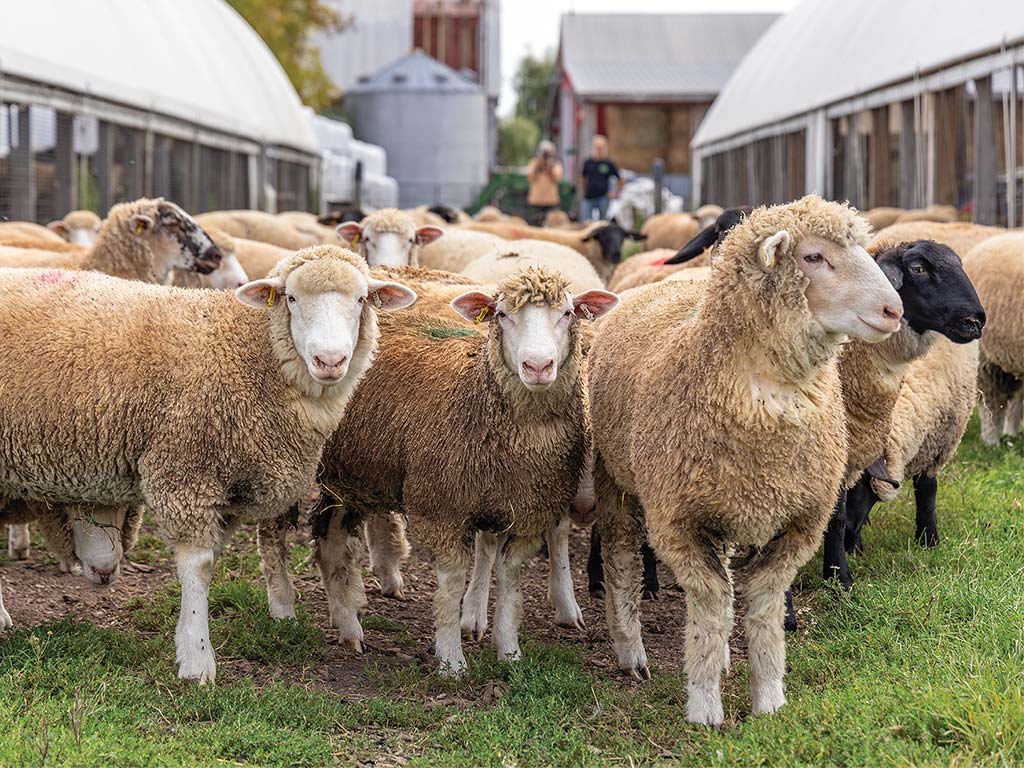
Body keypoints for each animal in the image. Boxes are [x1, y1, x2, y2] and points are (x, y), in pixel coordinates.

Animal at [0, 249, 419, 684]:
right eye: (291, 298)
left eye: (361, 300)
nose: (330, 360)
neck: (246, 349)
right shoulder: (186, 470)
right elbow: (199, 567)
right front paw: (197, 659)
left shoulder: (228, 485)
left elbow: (213, 561)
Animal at [585, 195, 905, 724]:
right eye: (813, 256)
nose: (893, 309)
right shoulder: (680, 523)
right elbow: (712, 609)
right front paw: (704, 705)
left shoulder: (799, 522)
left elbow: (763, 608)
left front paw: (769, 698)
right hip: (615, 478)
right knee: (621, 560)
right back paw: (631, 650)